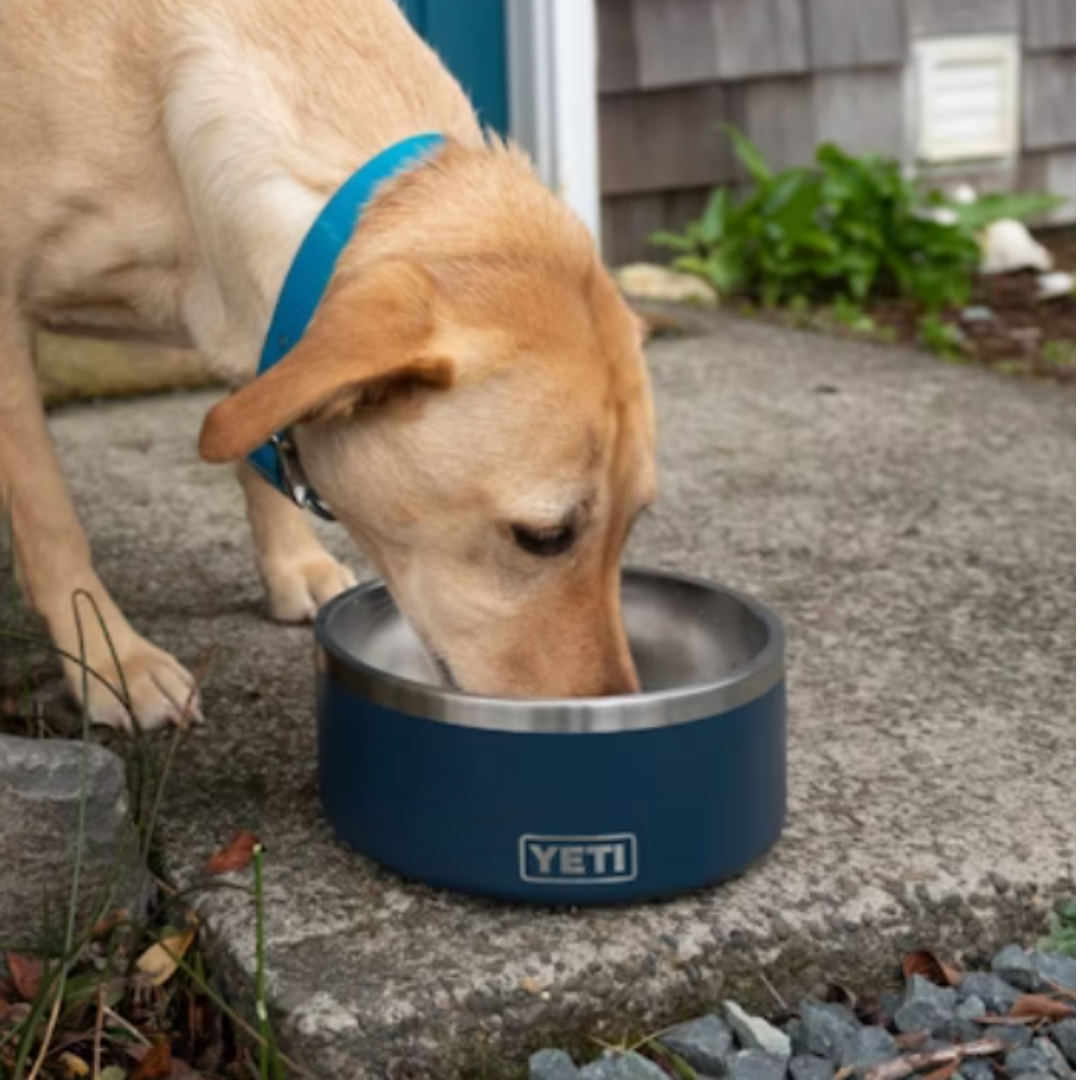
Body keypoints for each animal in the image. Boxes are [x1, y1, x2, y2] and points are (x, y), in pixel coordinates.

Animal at [0, 0, 656, 730]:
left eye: (633, 523)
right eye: (544, 536)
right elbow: (51, 521)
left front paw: (291, 565)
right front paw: (111, 659)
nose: (609, 717)